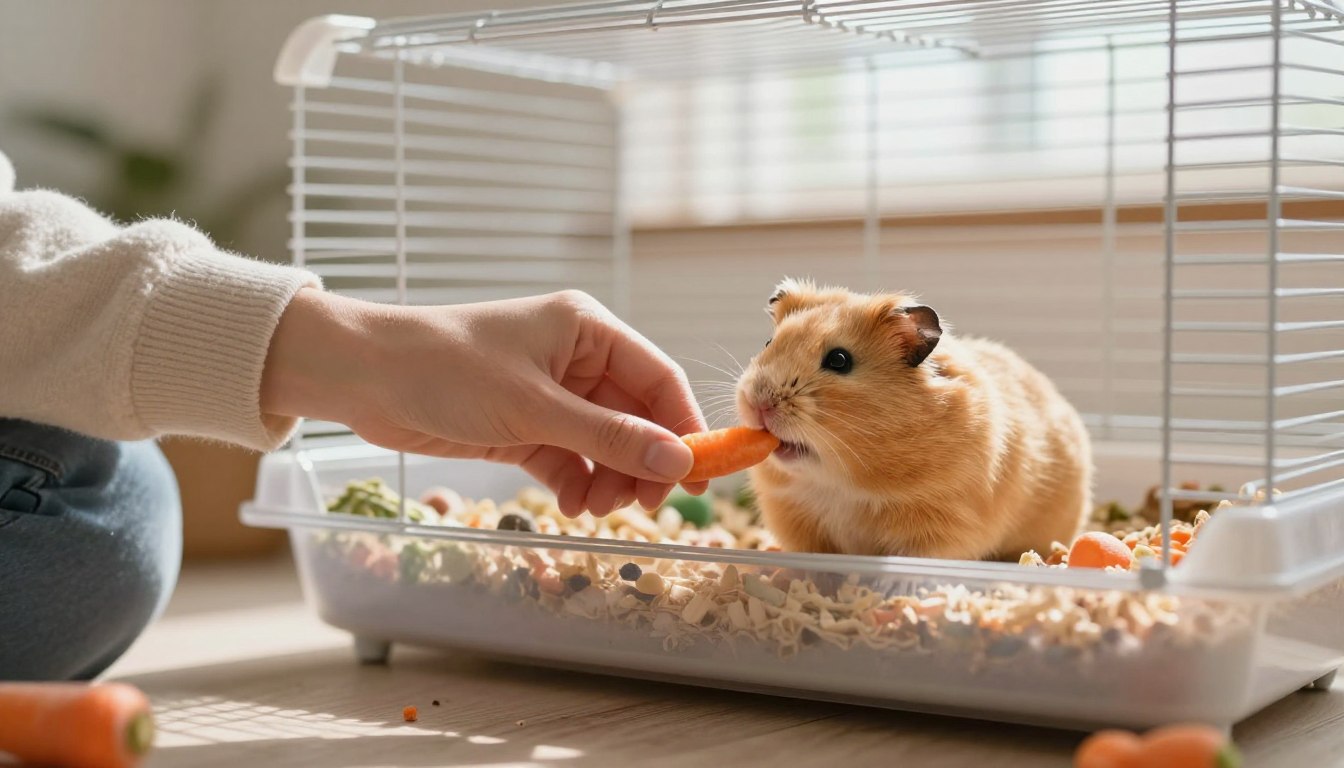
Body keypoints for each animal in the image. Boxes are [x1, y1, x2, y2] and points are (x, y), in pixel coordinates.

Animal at [735, 278, 1091, 561]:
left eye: (839, 360)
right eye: (769, 343)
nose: (757, 402)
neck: (841, 482)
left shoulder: (946, 520)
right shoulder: (795, 518)